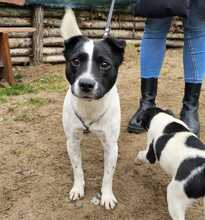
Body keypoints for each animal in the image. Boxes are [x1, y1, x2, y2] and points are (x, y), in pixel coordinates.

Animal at [60, 8, 125, 209]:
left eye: (104, 64)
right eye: (75, 61)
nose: (86, 84)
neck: (90, 107)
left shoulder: (111, 145)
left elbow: (108, 175)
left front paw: (107, 196)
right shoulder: (72, 141)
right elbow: (77, 169)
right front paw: (78, 188)